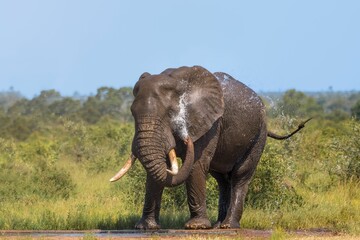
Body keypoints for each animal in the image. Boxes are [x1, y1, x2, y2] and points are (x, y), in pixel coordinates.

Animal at [109, 65, 310, 229]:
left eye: (171, 114)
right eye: (132, 113)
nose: (186, 137)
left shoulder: (211, 124)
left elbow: (196, 165)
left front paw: (196, 227)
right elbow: (159, 169)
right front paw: (145, 227)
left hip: (259, 133)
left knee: (240, 176)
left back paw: (229, 226)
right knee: (222, 180)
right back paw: (218, 225)